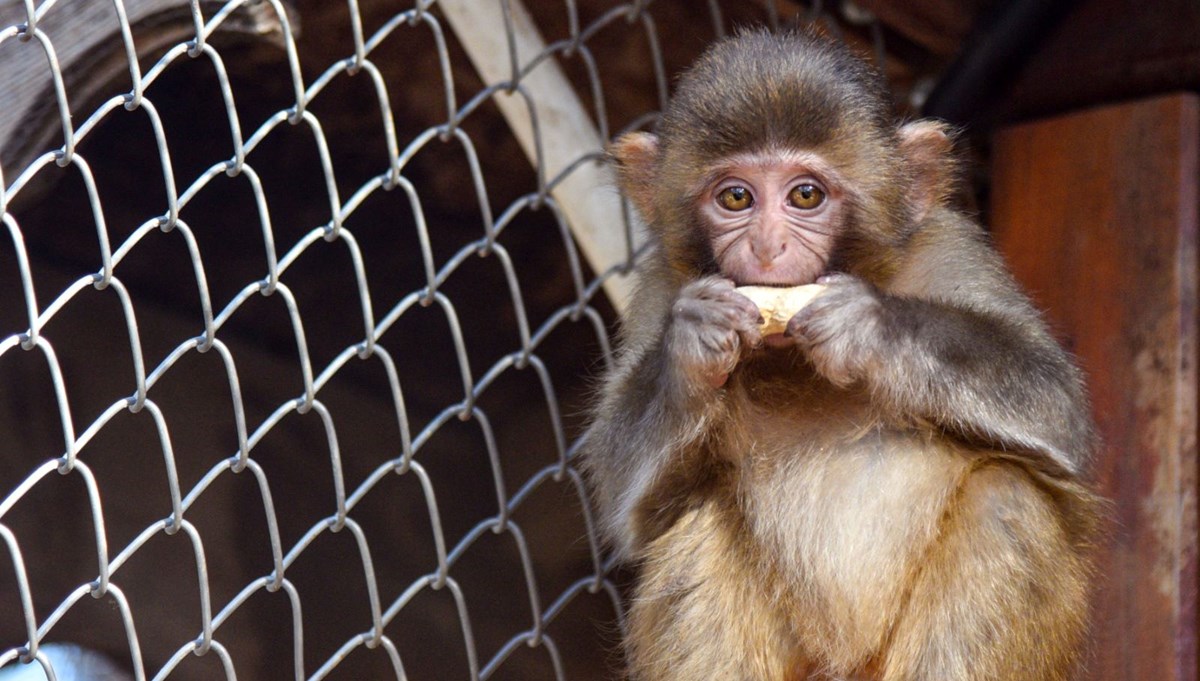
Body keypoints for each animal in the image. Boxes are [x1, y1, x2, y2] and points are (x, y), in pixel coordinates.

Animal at [580, 29, 1099, 676]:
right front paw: (690, 349)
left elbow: (1054, 402)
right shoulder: (660, 286)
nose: (767, 246)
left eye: (805, 195)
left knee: (1006, 501)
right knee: (693, 526)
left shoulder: (950, 246)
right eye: (736, 198)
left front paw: (869, 327)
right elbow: (625, 498)